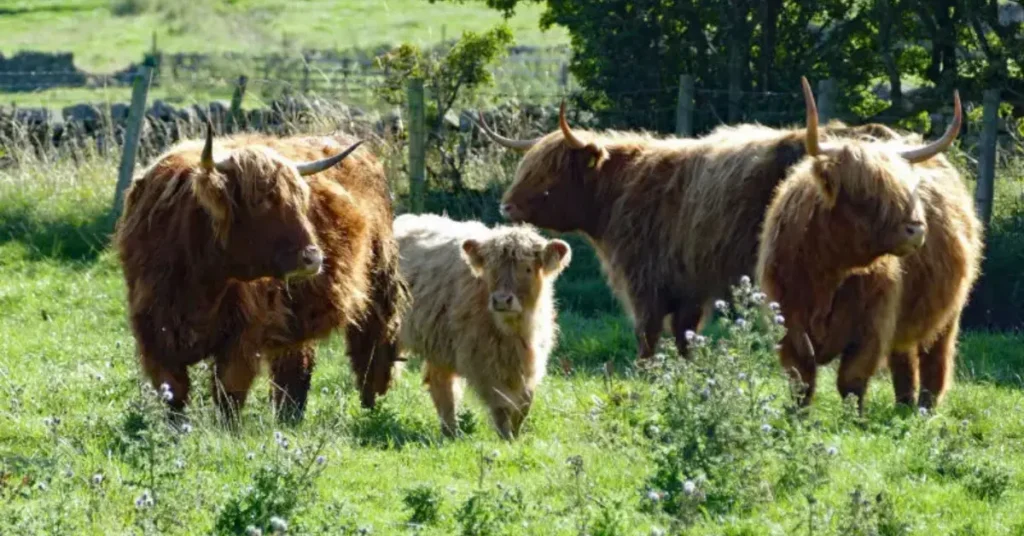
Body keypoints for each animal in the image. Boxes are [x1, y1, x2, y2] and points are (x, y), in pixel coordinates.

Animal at [115, 122, 410, 424]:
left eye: (301, 202)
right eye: (260, 203)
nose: (313, 258)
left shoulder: (243, 336)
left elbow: (228, 393)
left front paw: (227, 431)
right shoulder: (153, 334)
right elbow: (174, 393)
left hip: (380, 283)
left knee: (372, 348)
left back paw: (371, 406)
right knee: (295, 365)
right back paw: (290, 417)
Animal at [393, 213, 571, 440]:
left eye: (527, 268)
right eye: (491, 269)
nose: (502, 300)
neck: (514, 330)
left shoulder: (531, 361)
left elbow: (524, 403)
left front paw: (516, 434)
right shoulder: (484, 362)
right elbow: (501, 405)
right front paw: (506, 438)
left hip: (438, 343)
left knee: (441, 384)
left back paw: (450, 432)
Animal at [477, 104, 907, 361]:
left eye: (551, 172)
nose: (506, 206)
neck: (622, 189)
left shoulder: (645, 282)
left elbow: (648, 334)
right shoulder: (688, 287)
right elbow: (684, 336)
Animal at [755, 78, 983, 411]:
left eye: (908, 190)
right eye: (865, 195)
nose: (917, 230)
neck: (828, 271)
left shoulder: (872, 326)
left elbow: (851, 381)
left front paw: (853, 418)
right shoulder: (788, 320)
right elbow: (802, 380)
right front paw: (797, 417)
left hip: (949, 312)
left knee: (935, 357)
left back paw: (925, 408)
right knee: (903, 357)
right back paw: (904, 404)